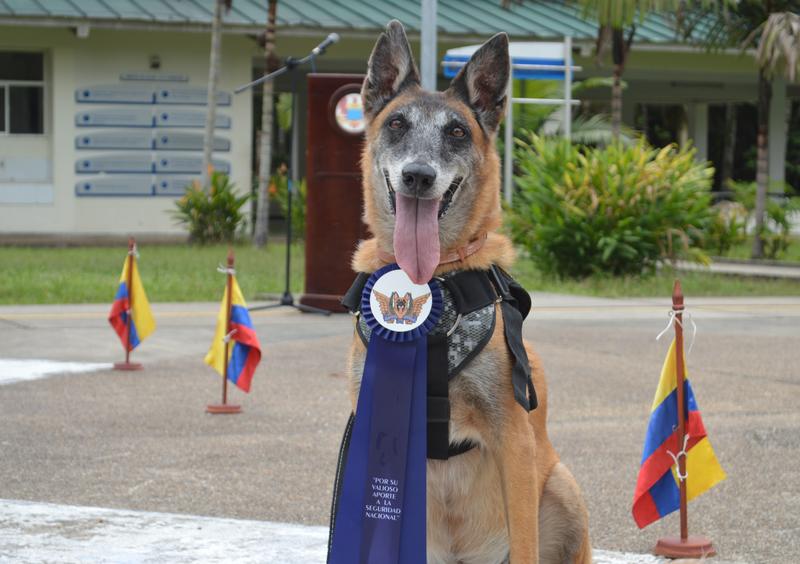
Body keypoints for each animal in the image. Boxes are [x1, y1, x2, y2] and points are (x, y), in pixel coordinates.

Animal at [342, 20, 588, 564]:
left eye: (456, 132)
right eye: (397, 124)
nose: (418, 176)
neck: (433, 280)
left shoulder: (514, 440)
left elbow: (524, 544)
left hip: (563, 487)